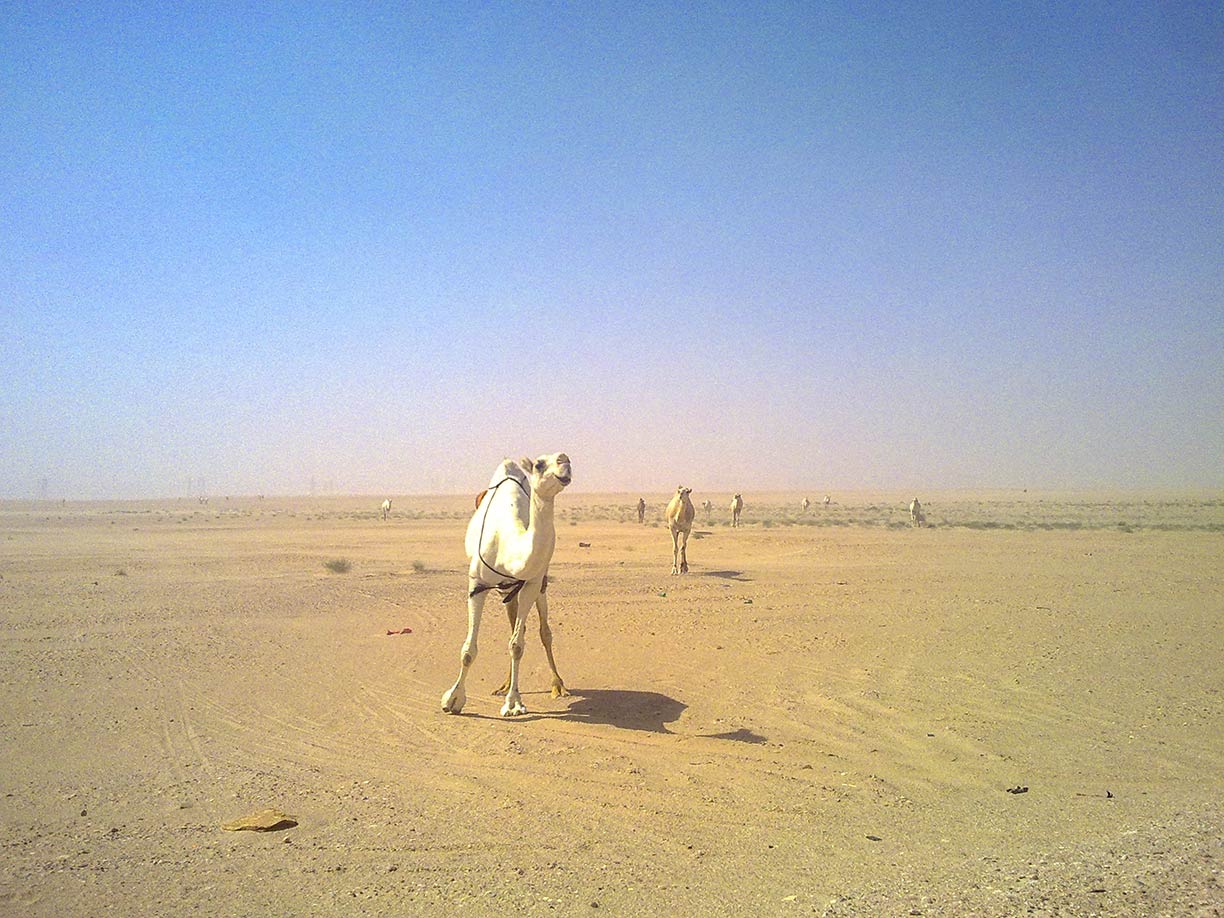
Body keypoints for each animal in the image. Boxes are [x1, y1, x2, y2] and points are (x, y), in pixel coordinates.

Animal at [440, 452, 572, 719]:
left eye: (566, 459)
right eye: (539, 464)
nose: (564, 460)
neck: (507, 543)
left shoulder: (531, 583)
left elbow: (518, 645)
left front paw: (513, 704)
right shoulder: (476, 585)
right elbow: (468, 650)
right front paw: (453, 700)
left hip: (538, 585)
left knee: (544, 632)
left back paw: (558, 685)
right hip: (506, 589)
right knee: (514, 627)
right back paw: (504, 684)